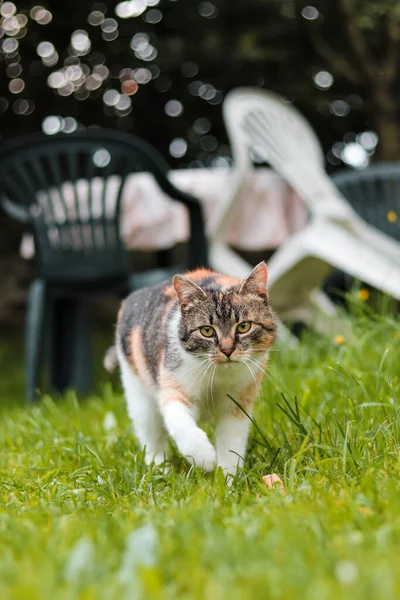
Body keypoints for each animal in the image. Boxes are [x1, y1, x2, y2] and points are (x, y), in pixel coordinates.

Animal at [104, 262, 276, 478]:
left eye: (244, 326)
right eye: (207, 330)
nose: (227, 350)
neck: (217, 377)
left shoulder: (237, 405)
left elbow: (231, 444)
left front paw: (229, 479)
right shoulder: (174, 388)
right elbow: (181, 425)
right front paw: (205, 458)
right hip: (138, 391)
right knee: (150, 434)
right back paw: (159, 469)